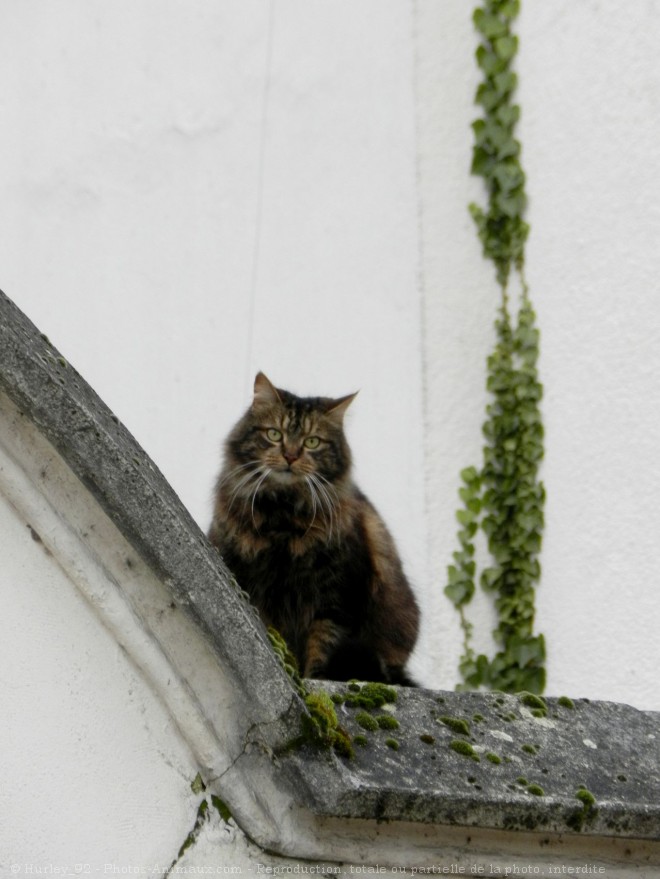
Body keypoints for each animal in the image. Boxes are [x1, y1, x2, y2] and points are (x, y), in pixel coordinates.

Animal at [209, 372, 420, 688]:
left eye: (312, 442)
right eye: (275, 434)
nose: (290, 456)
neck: (283, 519)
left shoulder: (336, 599)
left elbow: (322, 649)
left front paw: (315, 680)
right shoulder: (254, 585)